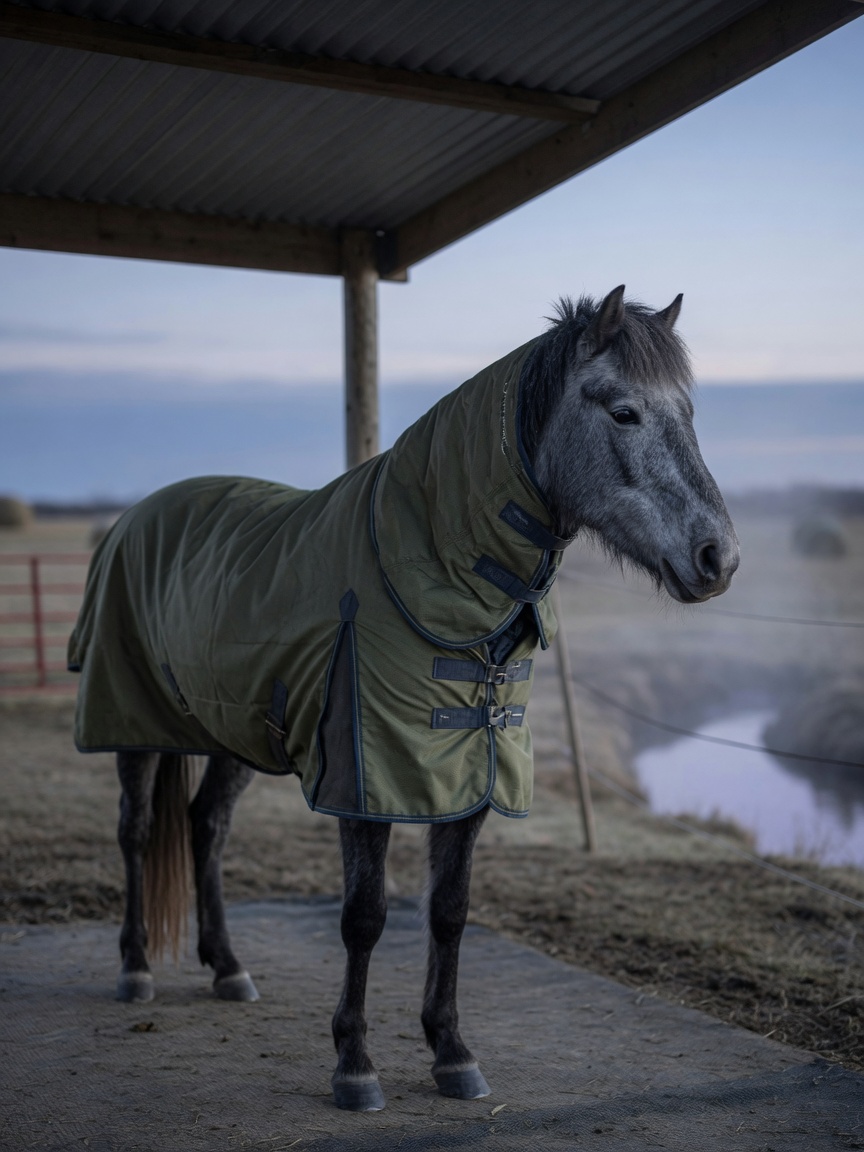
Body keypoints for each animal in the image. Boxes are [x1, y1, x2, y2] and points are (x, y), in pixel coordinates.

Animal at [69, 285, 739, 1112]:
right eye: (623, 411)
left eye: (688, 411)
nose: (718, 558)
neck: (429, 564)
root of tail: (133, 516)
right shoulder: (365, 778)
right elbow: (364, 917)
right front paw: (354, 1063)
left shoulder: (469, 777)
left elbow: (449, 912)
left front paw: (451, 1051)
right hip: (131, 721)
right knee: (135, 831)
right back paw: (135, 968)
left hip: (233, 730)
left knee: (205, 827)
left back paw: (226, 966)